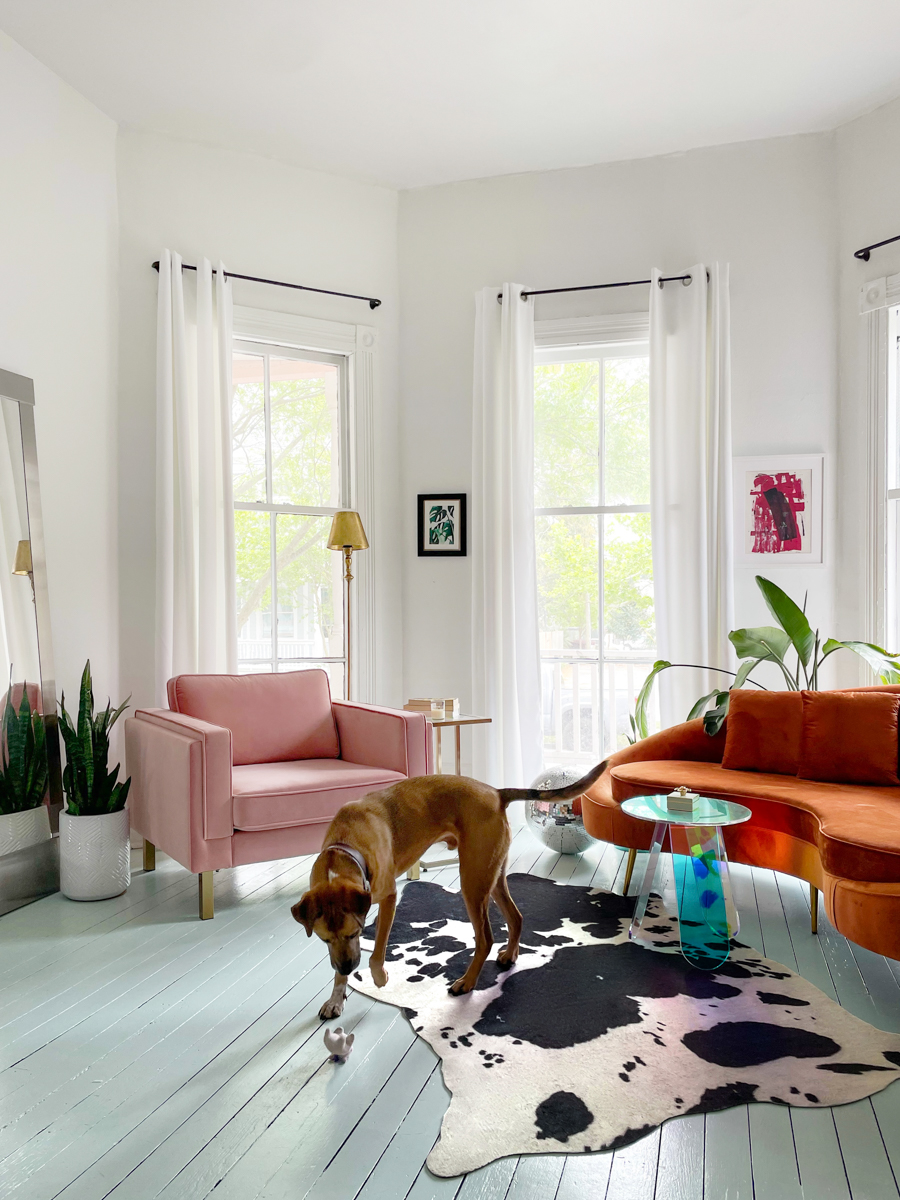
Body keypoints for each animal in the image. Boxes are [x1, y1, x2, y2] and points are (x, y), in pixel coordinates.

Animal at [292, 763, 609, 1017]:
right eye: (323, 939)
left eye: (354, 933)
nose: (347, 968)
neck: (346, 845)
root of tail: (497, 793)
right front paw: (336, 998)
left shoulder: (389, 898)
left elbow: (377, 949)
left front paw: (379, 976)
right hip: (492, 877)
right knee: (516, 917)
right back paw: (509, 955)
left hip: (472, 881)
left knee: (486, 938)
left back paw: (467, 983)